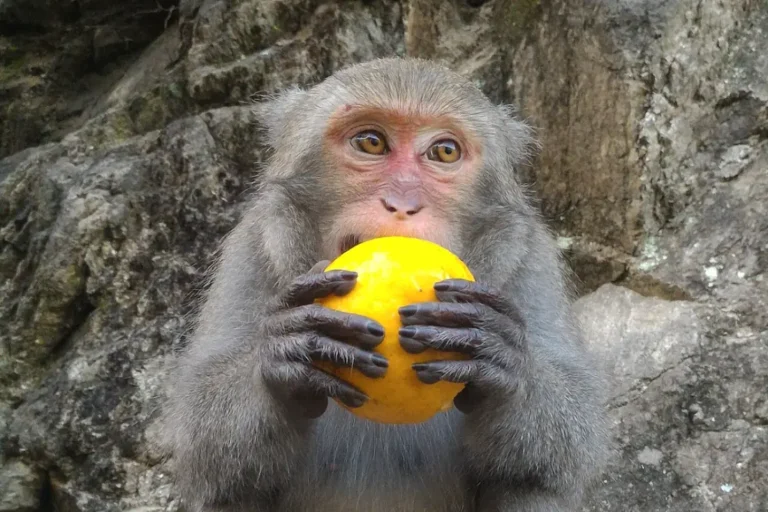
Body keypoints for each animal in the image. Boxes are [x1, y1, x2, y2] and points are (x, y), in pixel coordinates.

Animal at [160, 58, 609, 512]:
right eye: (372, 143)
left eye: (444, 151)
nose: (403, 203)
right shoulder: (252, 247)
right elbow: (206, 451)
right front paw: (292, 342)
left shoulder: (530, 257)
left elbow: (562, 454)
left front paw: (496, 347)